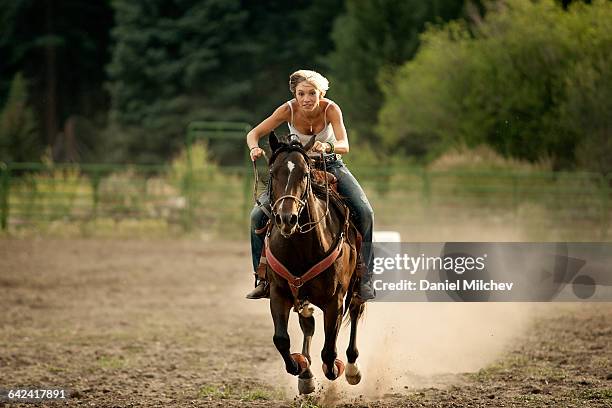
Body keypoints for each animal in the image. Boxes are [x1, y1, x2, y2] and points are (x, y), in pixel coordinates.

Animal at [262, 132, 364, 394]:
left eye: (305, 174)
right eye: (272, 173)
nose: (287, 218)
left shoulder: (334, 300)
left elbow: (329, 352)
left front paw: (335, 368)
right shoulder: (279, 293)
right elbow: (281, 339)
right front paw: (301, 367)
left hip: (357, 286)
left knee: (355, 312)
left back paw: (351, 368)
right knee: (307, 323)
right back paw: (306, 374)